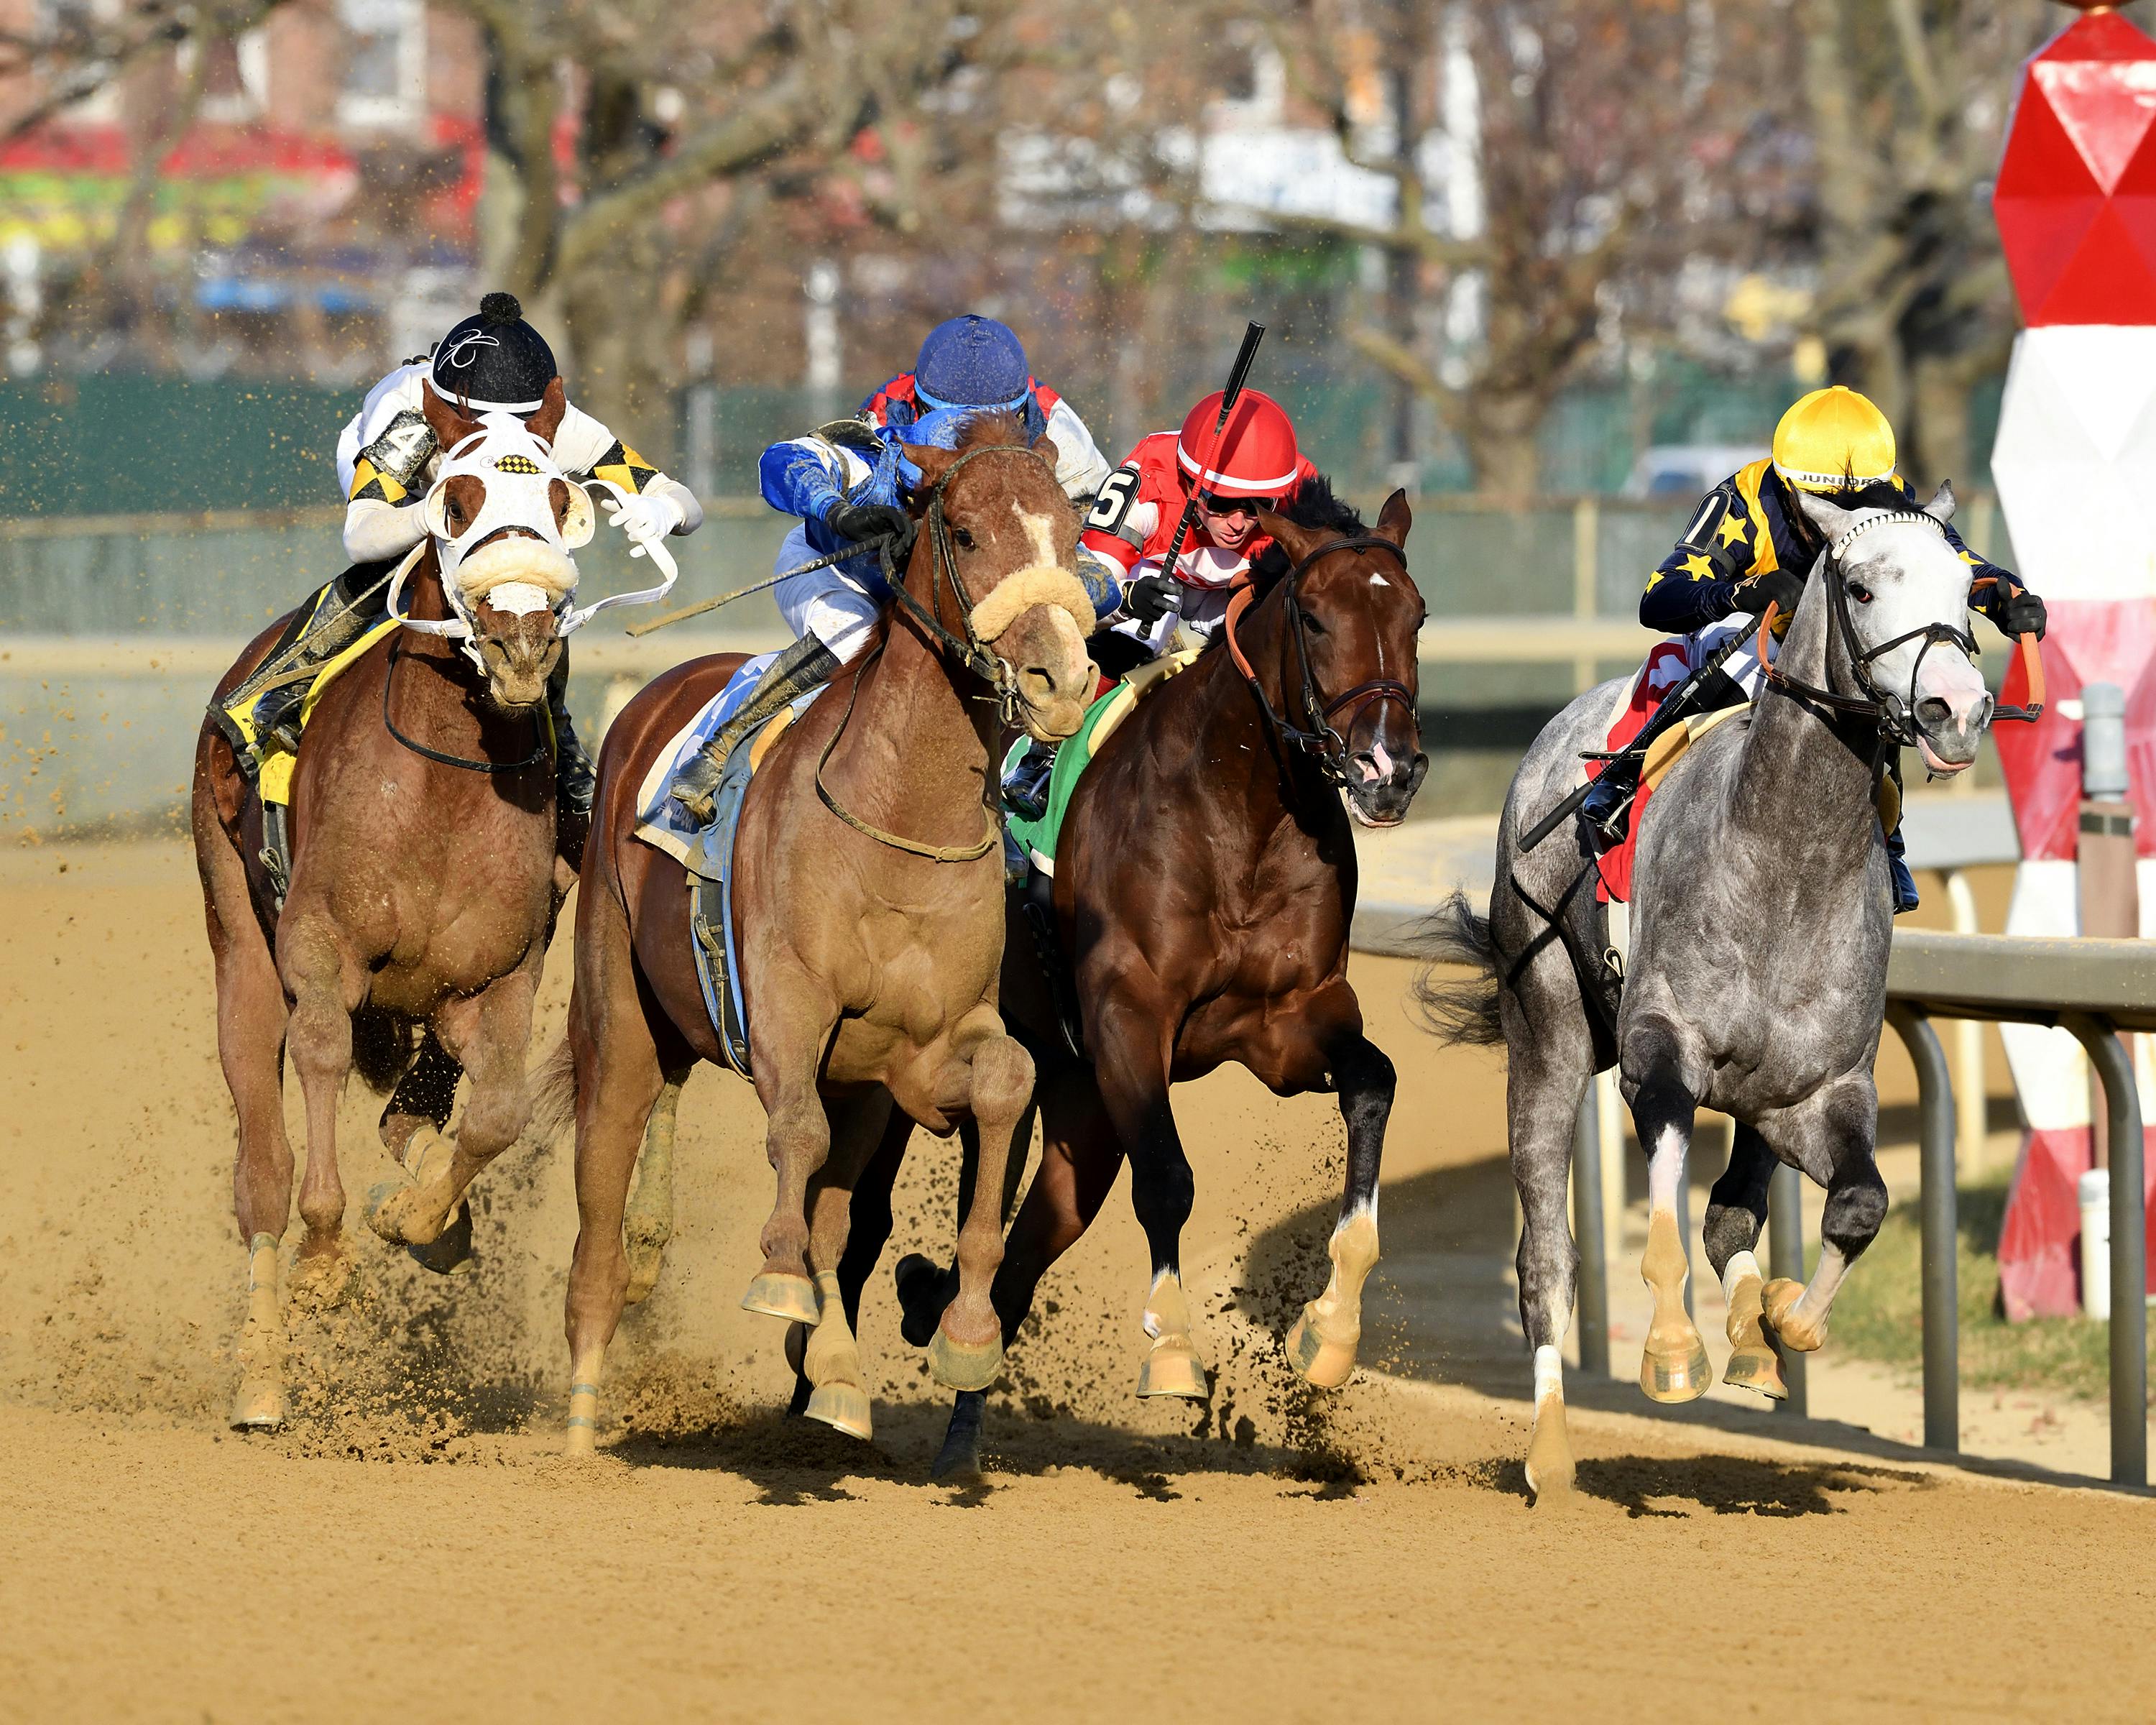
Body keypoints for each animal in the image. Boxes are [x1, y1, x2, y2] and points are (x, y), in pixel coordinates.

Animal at [193, 382, 604, 1432]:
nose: (522, 642)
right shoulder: (321, 951)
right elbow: (321, 1063)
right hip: (238, 941)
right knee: (261, 1171)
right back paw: (260, 1380)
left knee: (420, 1104)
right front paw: (328, 1260)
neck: (443, 782)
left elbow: (495, 1115)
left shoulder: (501, 973)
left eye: (562, 500)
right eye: (453, 500)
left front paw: (420, 1215)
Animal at [561, 412, 1095, 1449]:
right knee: (601, 1206)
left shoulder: (922, 1048)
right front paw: (776, 1278)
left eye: (1071, 530)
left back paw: (837, 1368)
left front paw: (964, 1331)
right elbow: (794, 1136)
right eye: (965, 531)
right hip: (620, 1017)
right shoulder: (782, 1006)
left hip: (861, 1086)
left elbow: (1005, 1084)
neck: (898, 823)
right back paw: (577, 1420)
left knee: (841, 1210)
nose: (1061, 681)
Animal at [858, 479, 1432, 1475]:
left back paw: (957, 1407)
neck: (1237, 817)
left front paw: (1330, 1331)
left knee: (1020, 1255)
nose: (1388, 770)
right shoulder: (1129, 1016)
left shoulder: (1289, 1021)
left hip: (1076, 1108)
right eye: (1316, 618)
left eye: (1417, 615)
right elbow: (1167, 1177)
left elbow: (1375, 1082)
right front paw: (1171, 1351)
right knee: (855, 1219)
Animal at [1423, 481, 2009, 1492]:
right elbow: (1661, 1208)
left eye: (1966, 586)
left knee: (1732, 1219)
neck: (1787, 858)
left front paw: (1786, 1323)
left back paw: (1753, 1335)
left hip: (1752, 1099)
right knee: (1547, 1258)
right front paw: (1671, 1350)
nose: (1957, 707)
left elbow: (1854, 1206)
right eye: (1860, 587)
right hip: (1548, 1026)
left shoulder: (1816, 1091)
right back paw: (1552, 1451)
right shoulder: (1661, 1051)